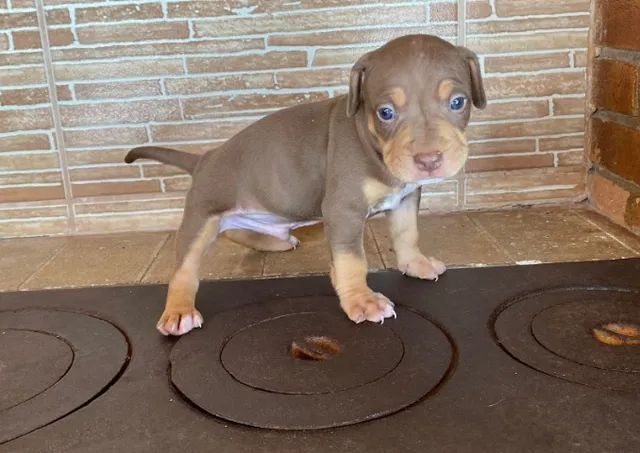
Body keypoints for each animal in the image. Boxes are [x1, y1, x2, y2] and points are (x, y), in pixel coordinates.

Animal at [124, 33, 484, 334]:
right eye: (385, 112)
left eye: (458, 102)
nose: (429, 160)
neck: (373, 146)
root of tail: (203, 159)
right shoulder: (344, 209)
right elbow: (352, 259)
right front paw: (361, 299)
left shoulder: (406, 197)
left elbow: (407, 232)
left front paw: (414, 263)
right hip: (202, 215)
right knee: (185, 268)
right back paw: (179, 310)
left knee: (237, 230)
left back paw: (274, 241)